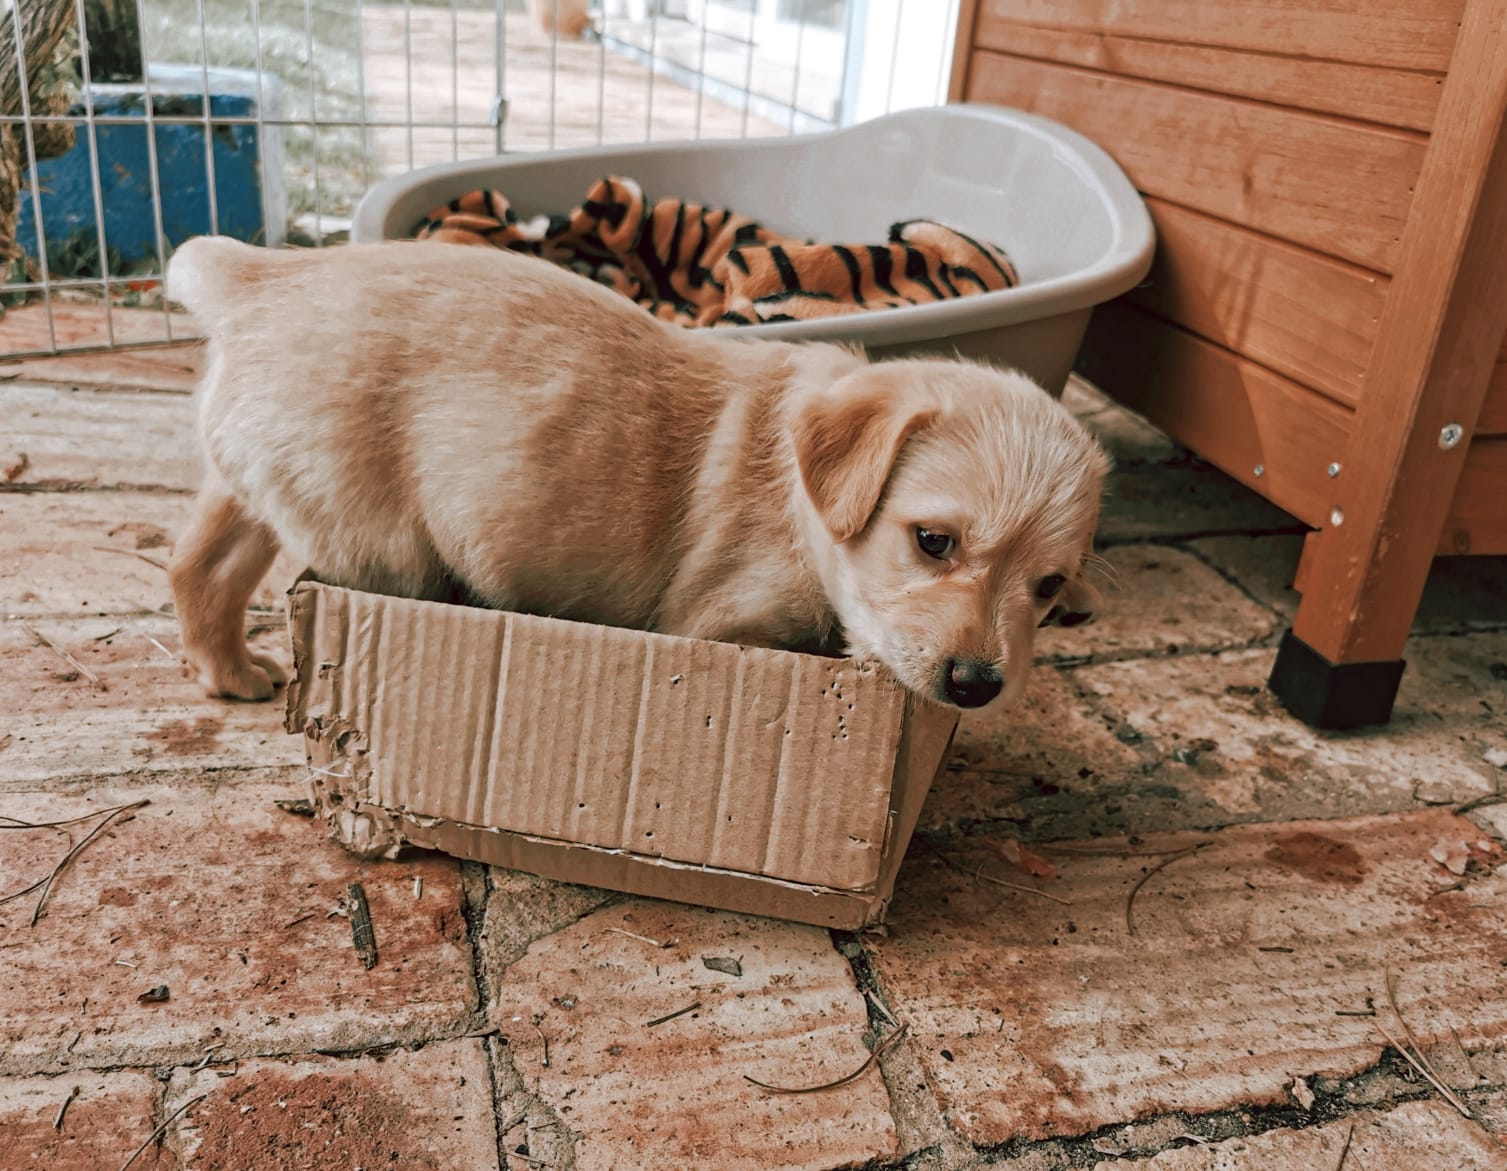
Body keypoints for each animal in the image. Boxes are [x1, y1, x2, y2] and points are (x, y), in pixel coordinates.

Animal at [167, 237, 1107, 710]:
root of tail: (254, 274)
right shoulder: (718, 626)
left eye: (1047, 586)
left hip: (254, 481)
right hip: (375, 539)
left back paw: (232, 673)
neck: (803, 505)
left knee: (197, 567)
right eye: (933, 541)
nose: (977, 687)